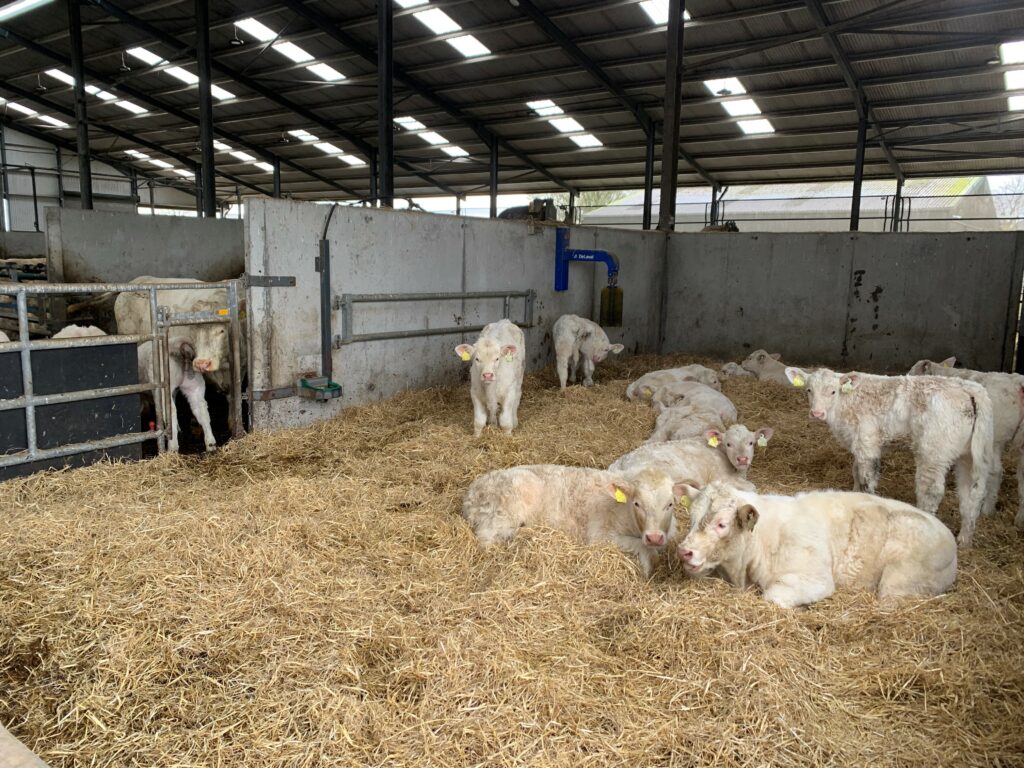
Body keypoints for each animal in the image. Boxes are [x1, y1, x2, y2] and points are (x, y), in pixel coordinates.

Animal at [462, 465, 684, 577]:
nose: (654, 537)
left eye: (670, 504)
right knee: (486, 541)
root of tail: (472, 492)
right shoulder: (601, 535)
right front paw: (646, 571)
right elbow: (645, 549)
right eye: (637, 503)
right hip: (502, 515)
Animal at [676, 482, 957, 608]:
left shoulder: (814, 579)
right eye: (691, 518)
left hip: (898, 583)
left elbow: (772, 597)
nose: (684, 551)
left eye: (722, 524)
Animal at [785, 366, 993, 547]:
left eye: (833, 392)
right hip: (970, 456)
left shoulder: (867, 443)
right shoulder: (858, 445)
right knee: (972, 493)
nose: (816, 413)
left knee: (931, 491)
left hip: (933, 453)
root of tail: (968, 387)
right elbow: (856, 473)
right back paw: (964, 539)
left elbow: (866, 479)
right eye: (809, 390)